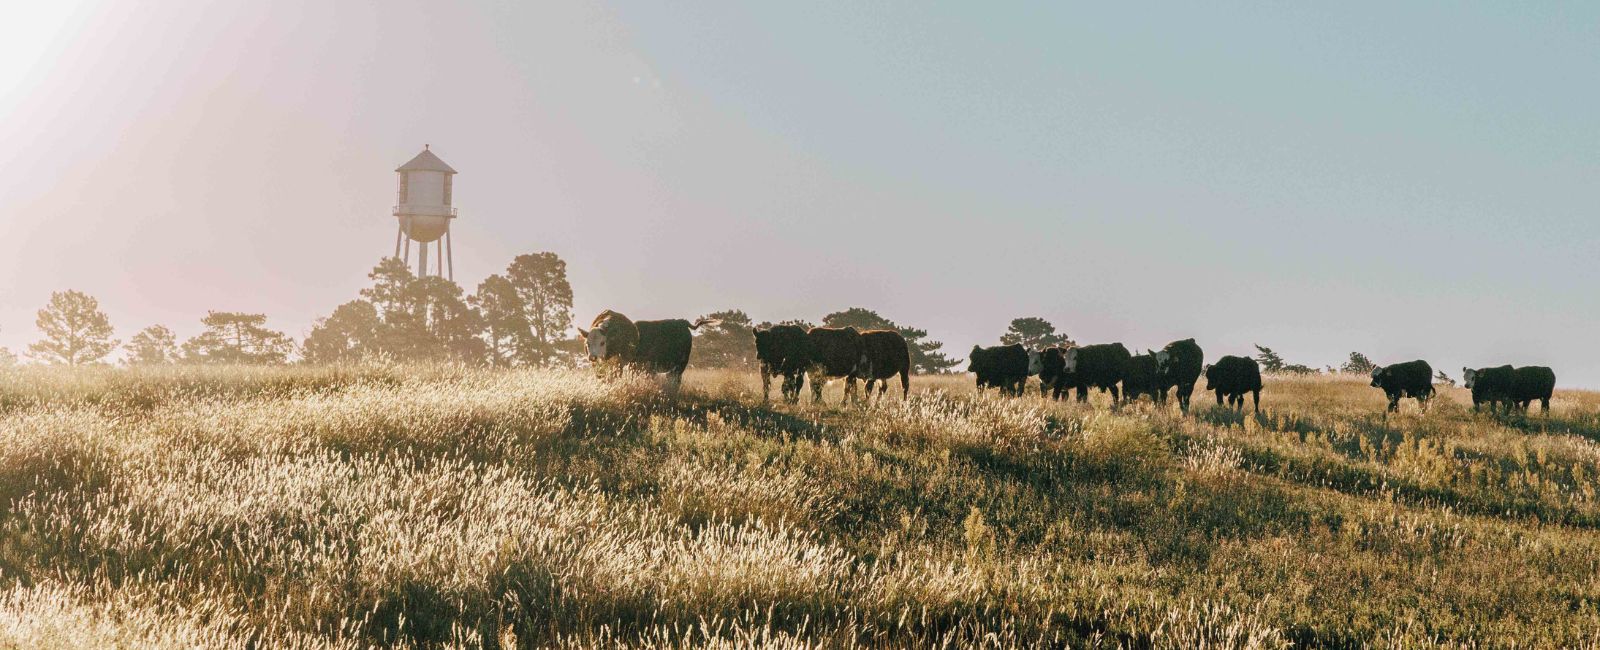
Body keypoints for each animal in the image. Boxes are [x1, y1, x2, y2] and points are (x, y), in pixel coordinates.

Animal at [576, 308, 713, 390]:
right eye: (587, 343)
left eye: (602, 342)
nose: (592, 357)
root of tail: (682, 322)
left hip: (680, 365)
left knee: (675, 381)